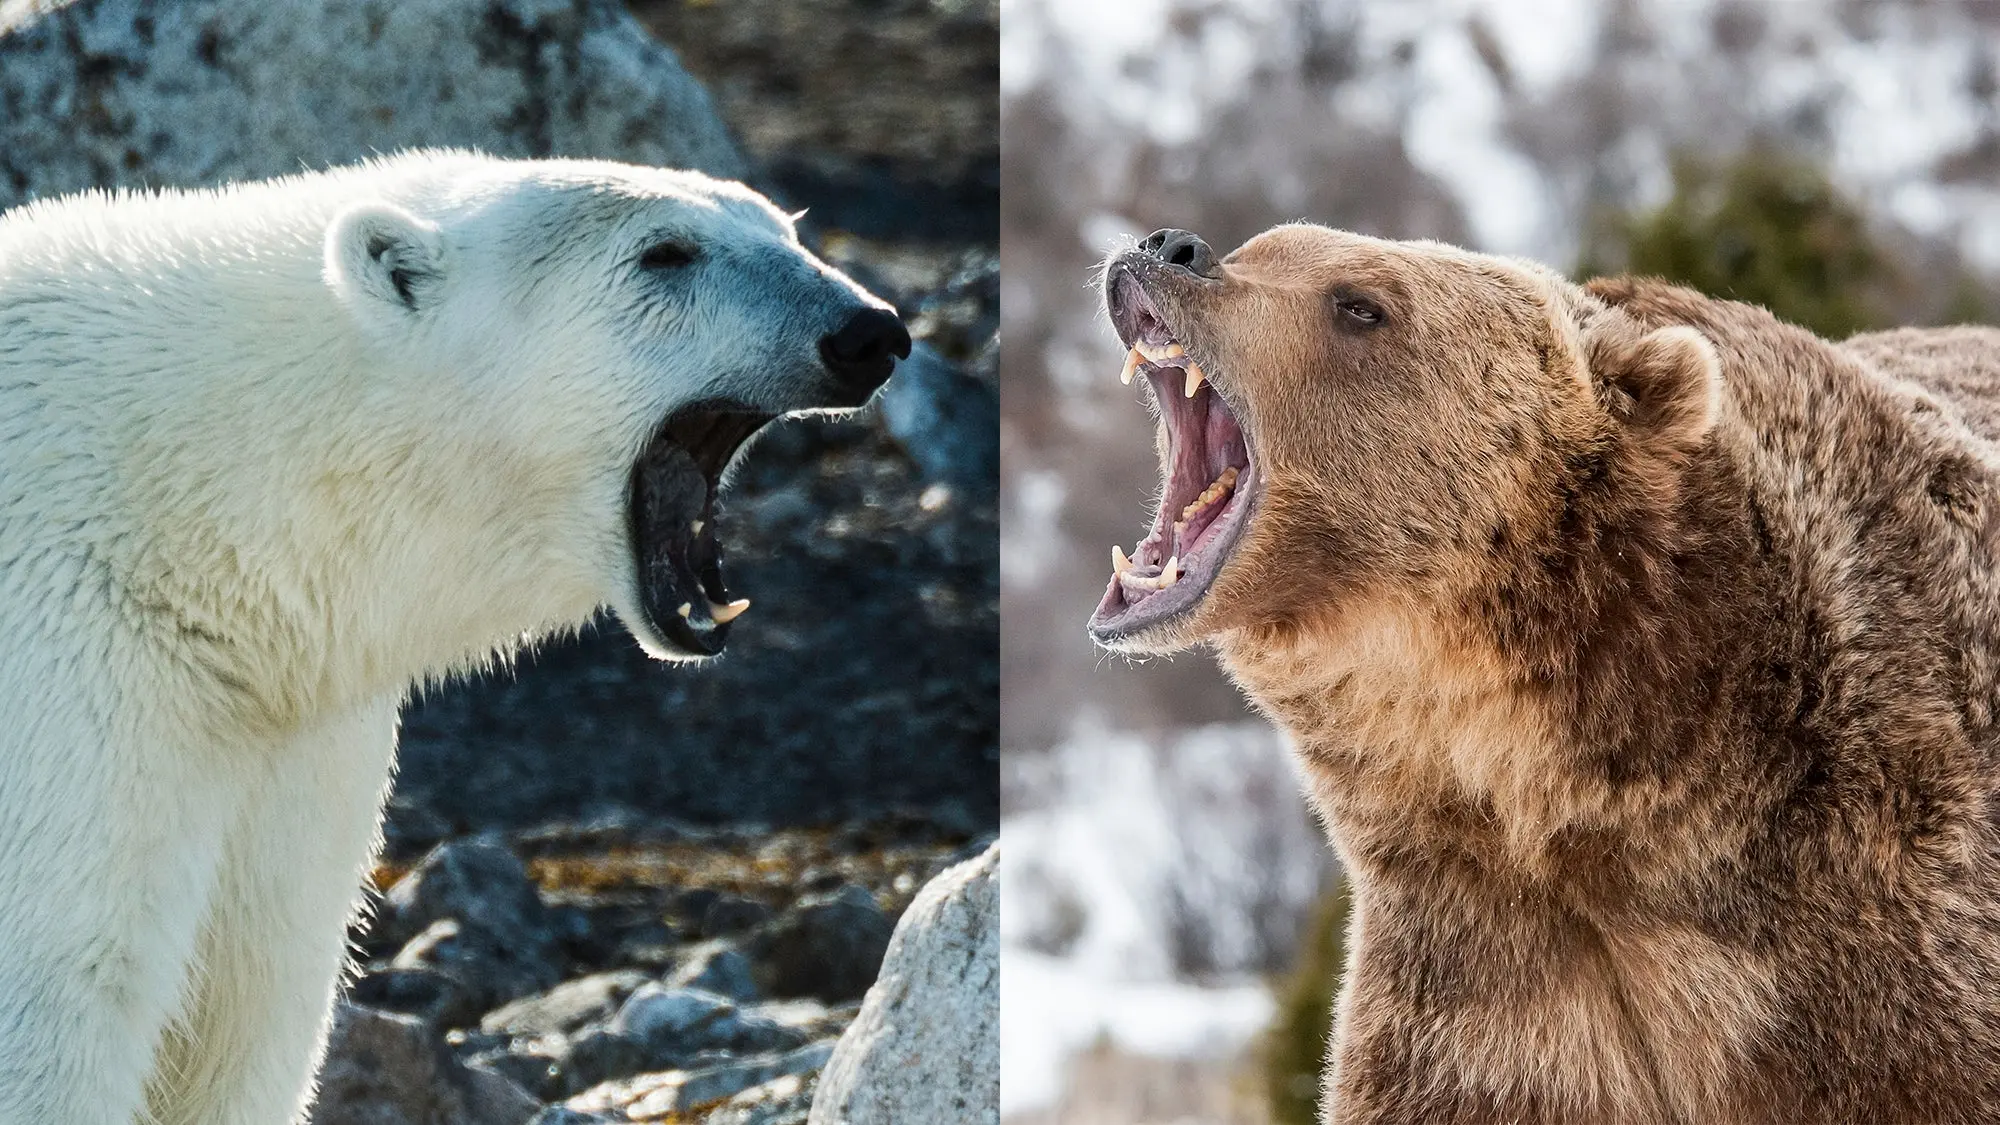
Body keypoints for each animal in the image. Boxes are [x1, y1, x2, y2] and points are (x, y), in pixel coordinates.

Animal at [0, 151, 912, 1120]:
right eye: (665, 252)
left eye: (782, 227)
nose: (870, 332)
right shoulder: (77, 683)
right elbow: (67, 993)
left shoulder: (288, 740)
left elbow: (251, 1003)